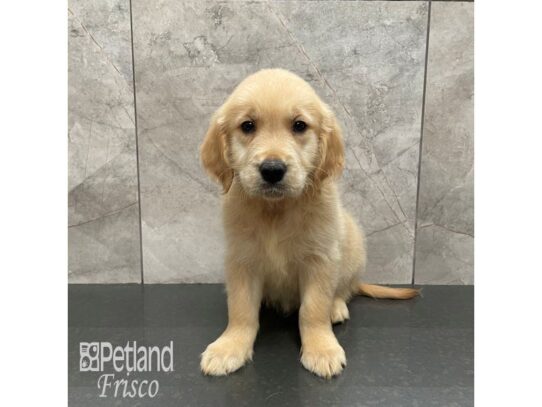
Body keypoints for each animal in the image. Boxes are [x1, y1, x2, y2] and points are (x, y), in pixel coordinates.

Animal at [200, 68, 420, 378]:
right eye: (247, 126)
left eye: (299, 126)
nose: (272, 170)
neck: (276, 210)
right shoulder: (241, 260)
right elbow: (241, 309)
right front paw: (229, 347)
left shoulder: (321, 259)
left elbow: (313, 309)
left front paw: (321, 349)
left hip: (352, 249)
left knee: (344, 290)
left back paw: (336, 307)